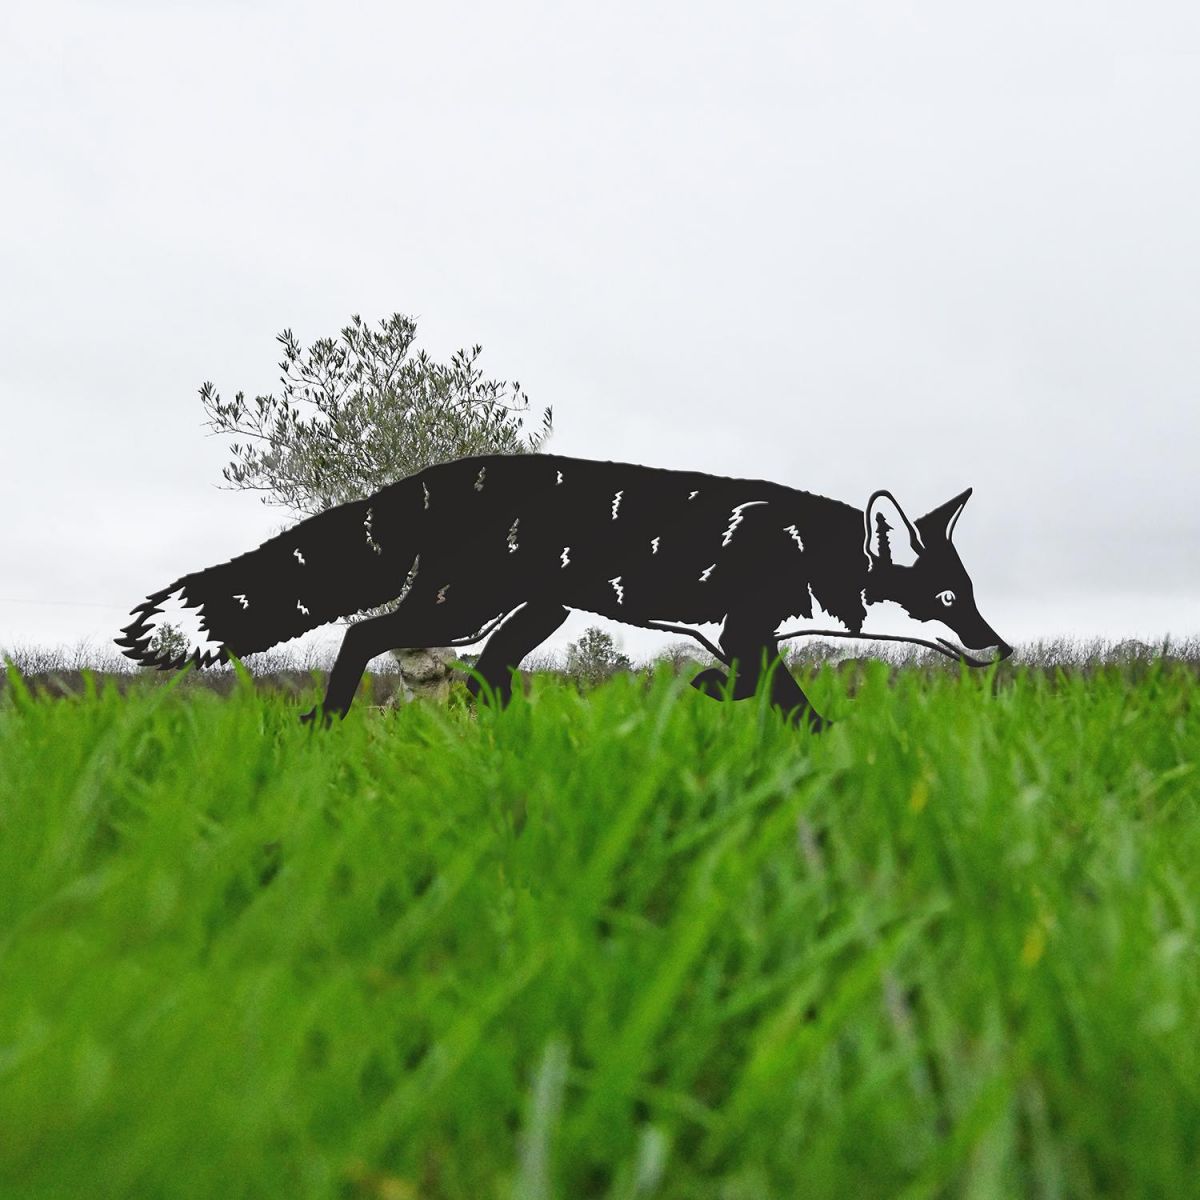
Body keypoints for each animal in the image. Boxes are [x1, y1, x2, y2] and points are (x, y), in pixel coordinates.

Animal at [117, 453, 1011, 731]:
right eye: (947, 602)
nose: (1000, 647)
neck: (802, 552)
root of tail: (446, 474)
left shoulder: (736, 635)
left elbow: (742, 682)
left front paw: (705, 692)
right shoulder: (743, 627)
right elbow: (784, 699)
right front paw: (825, 739)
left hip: (533, 613)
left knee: (486, 675)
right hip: (464, 608)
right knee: (364, 635)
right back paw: (327, 721)